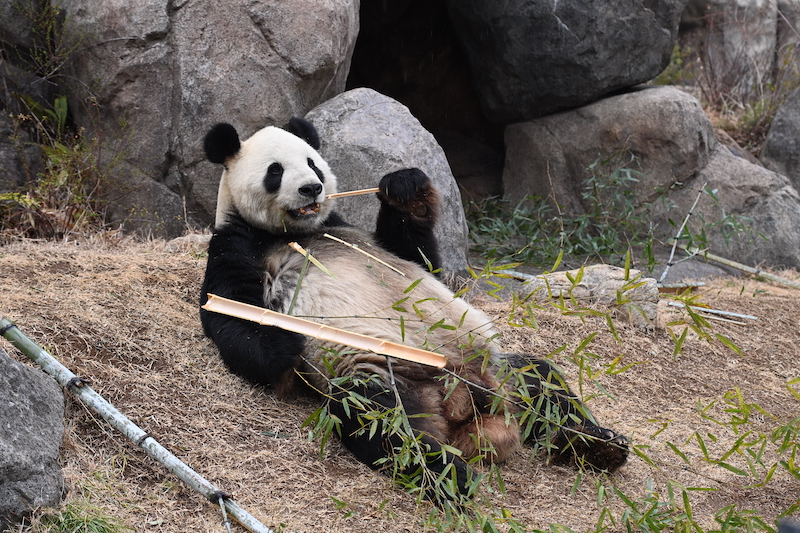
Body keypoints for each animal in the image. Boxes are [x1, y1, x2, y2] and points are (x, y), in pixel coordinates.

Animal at [200, 117, 632, 498]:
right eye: (275, 171)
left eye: (312, 162)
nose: (312, 188)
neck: (294, 232)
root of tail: (469, 402)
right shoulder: (236, 244)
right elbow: (231, 316)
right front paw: (284, 339)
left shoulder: (346, 227)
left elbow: (418, 257)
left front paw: (404, 188)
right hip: (384, 376)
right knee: (385, 424)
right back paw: (451, 477)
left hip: (497, 367)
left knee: (543, 381)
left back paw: (597, 443)